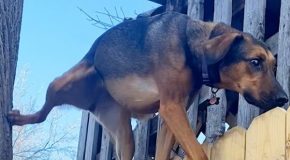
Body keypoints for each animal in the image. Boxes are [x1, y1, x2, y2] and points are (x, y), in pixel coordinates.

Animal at [8, 11, 288, 160]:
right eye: (255, 62)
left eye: (274, 65)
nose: (284, 99)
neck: (192, 45)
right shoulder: (172, 108)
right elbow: (198, 152)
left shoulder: (170, 116)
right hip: (59, 84)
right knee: (42, 113)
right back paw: (18, 118)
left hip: (122, 132)